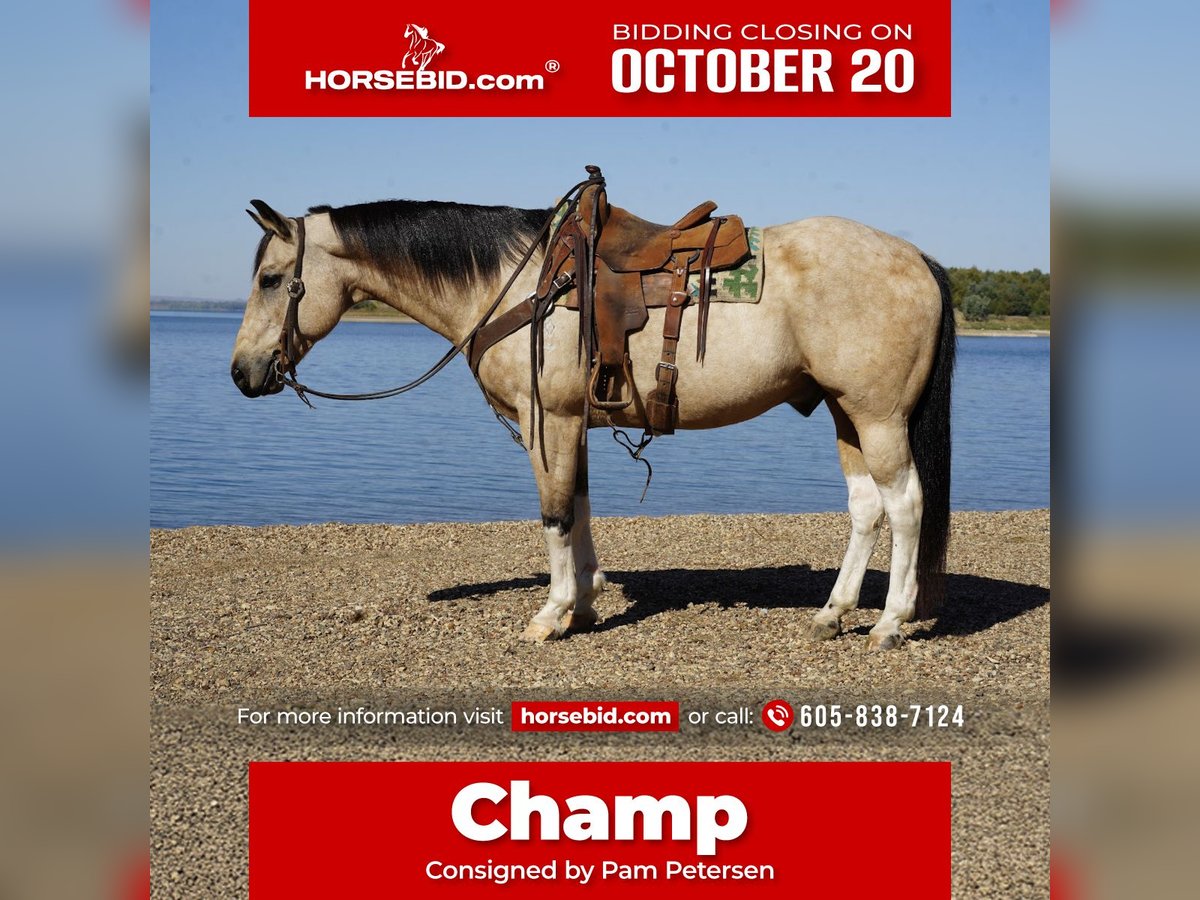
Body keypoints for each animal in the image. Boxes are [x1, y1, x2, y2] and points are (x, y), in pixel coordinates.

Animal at [232, 189, 955, 651]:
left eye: (270, 278)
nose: (242, 372)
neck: (517, 284)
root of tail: (919, 258)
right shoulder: (569, 424)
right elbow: (577, 508)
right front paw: (580, 604)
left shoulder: (544, 419)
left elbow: (554, 513)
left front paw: (550, 615)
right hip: (845, 413)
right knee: (867, 508)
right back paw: (833, 613)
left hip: (879, 417)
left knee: (906, 505)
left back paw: (890, 623)